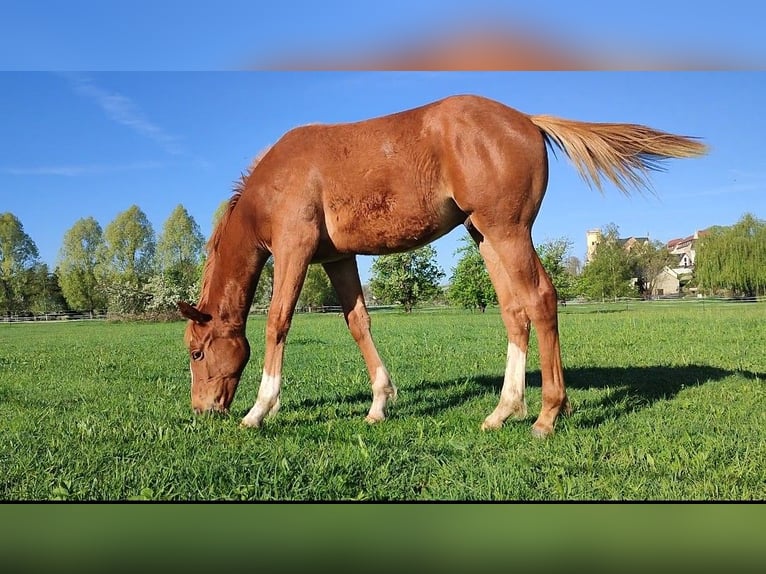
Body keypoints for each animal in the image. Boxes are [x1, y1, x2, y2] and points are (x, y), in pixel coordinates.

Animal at [180, 94, 708, 438]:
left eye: (197, 353)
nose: (202, 411)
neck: (273, 184)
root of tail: (527, 120)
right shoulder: (339, 258)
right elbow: (358, 323)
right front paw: (379, 404)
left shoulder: (295, 249)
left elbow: (277, 322)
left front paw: (259, 411)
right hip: (486, 237)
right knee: (514, 312)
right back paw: (504, 411)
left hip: (507, 231)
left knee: (540, 299)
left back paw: (547, 415)